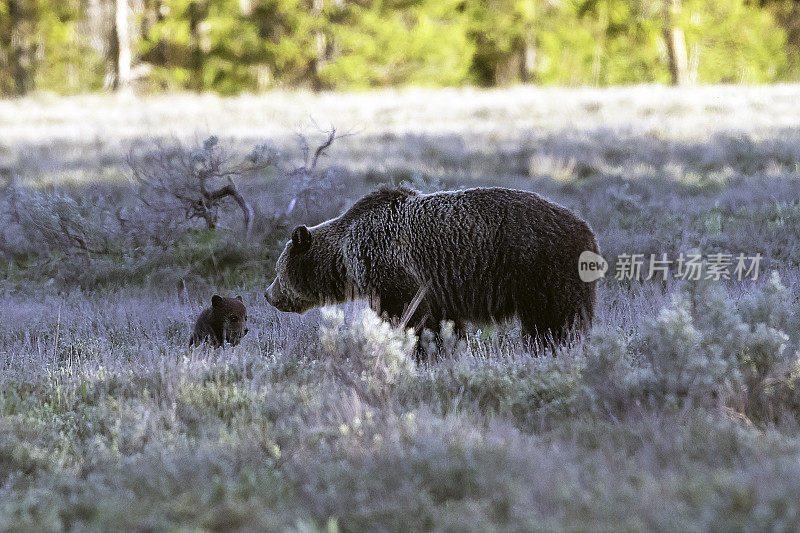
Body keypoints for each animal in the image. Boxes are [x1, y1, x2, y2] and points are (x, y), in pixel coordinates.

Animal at [266, 186, 596, 350]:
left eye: (279, 271)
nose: (269, 294)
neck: (346, 256)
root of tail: (585, 227)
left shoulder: (392, 269)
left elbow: (410, 317)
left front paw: (419, 351)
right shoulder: (440, 289)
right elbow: (445, 323)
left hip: (539, 267)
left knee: (553, 319)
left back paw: (552, 346)